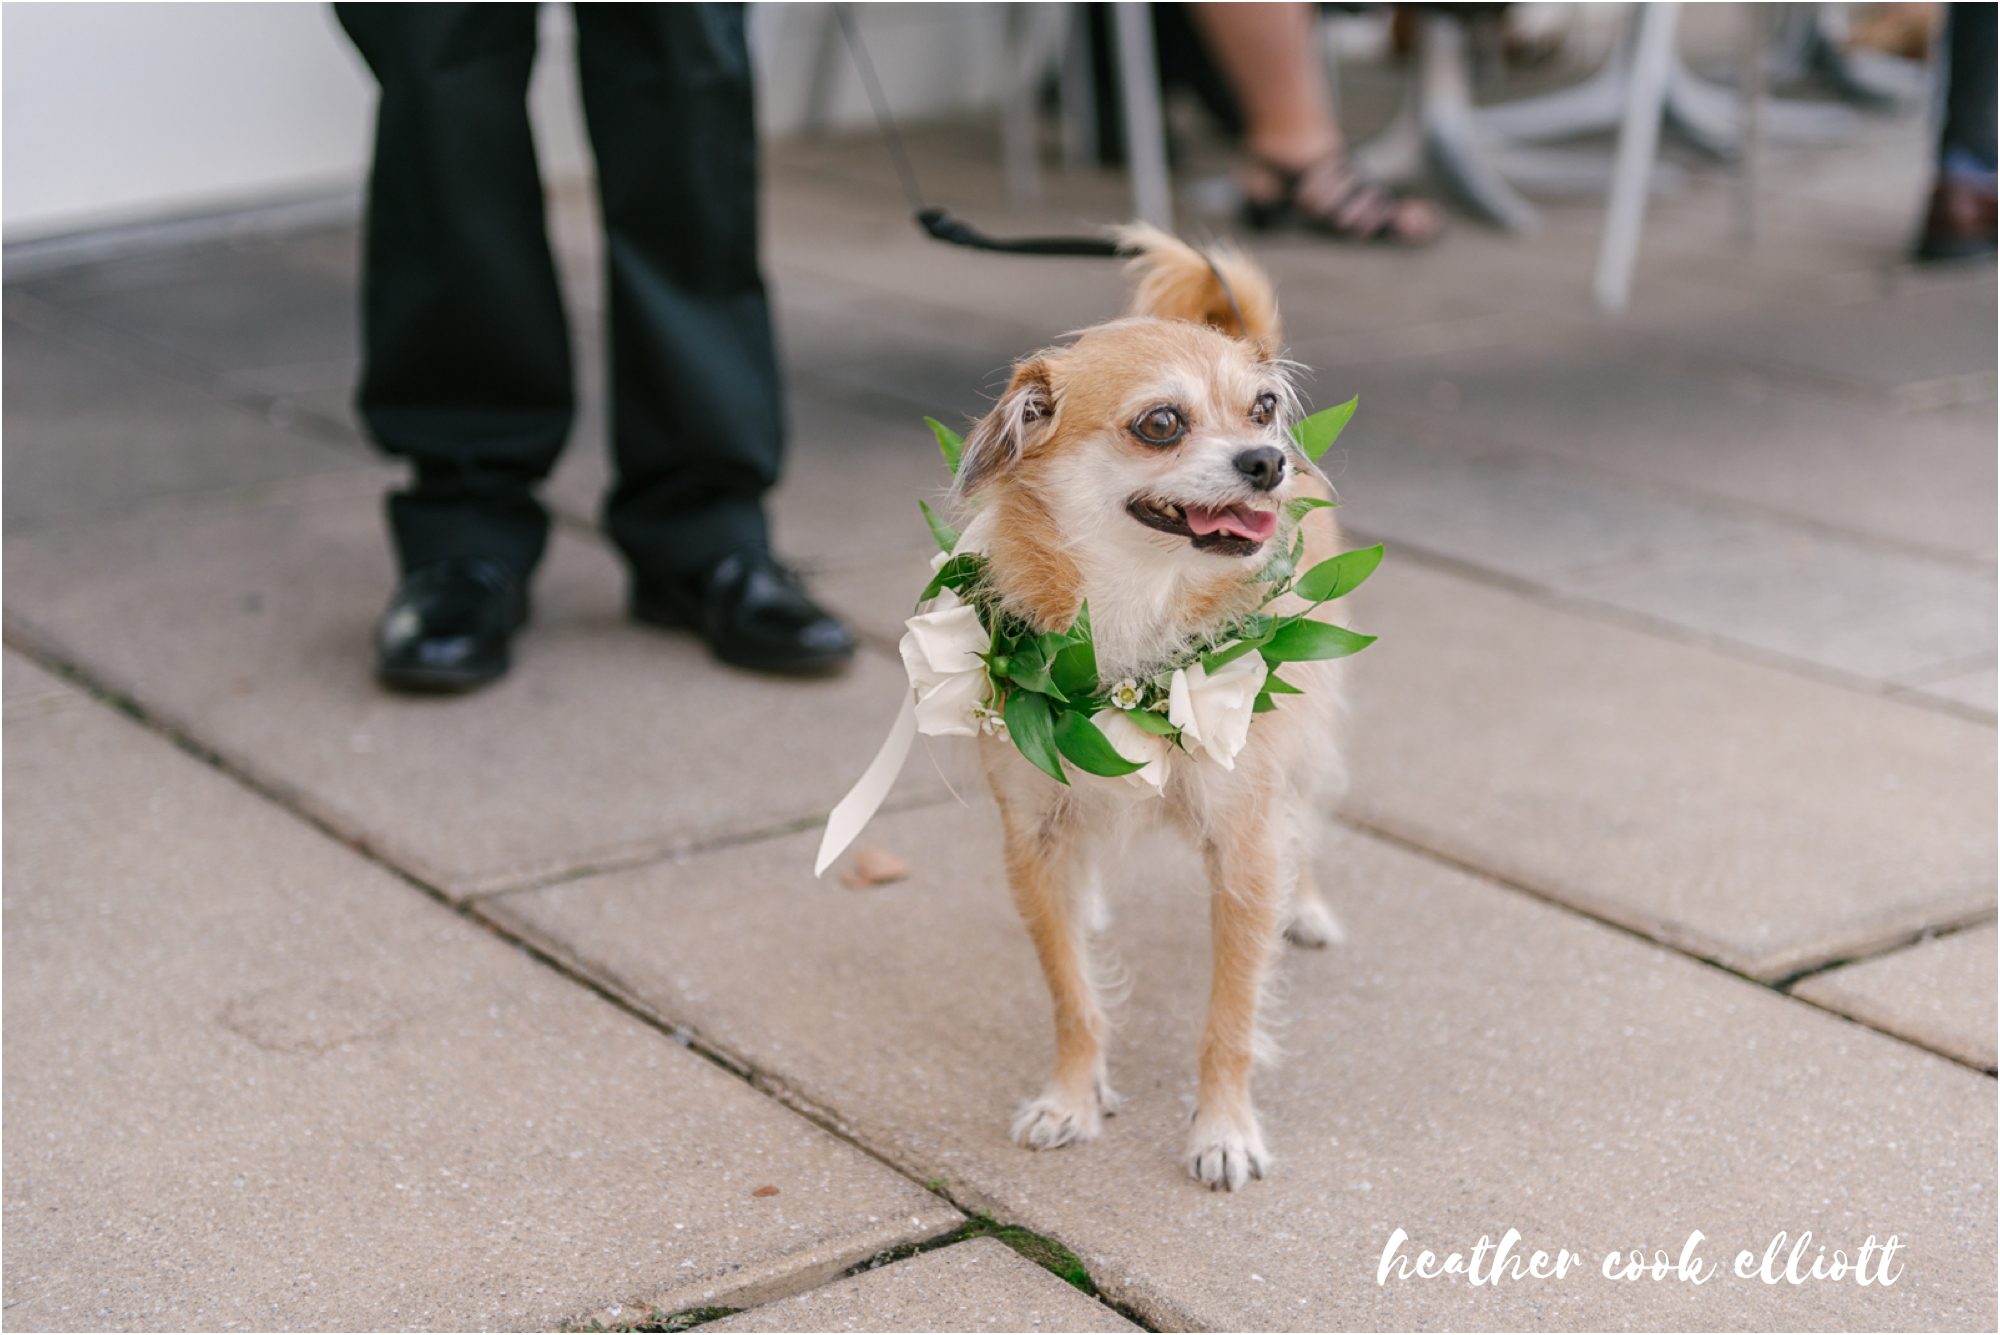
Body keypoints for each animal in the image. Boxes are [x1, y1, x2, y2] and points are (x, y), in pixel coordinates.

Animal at [948, 225, 1348, 1191]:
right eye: (1160, 423)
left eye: (1262, 408)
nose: (1269, 462)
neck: (1134, 613)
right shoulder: (1032, 839)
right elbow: (1072, 992)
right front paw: (1072, 1097)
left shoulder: (1244, 850)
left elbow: (1231, 1016)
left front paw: (1224, 1129)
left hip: (1308, 729)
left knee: (1305, 816)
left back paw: (1310, 905)